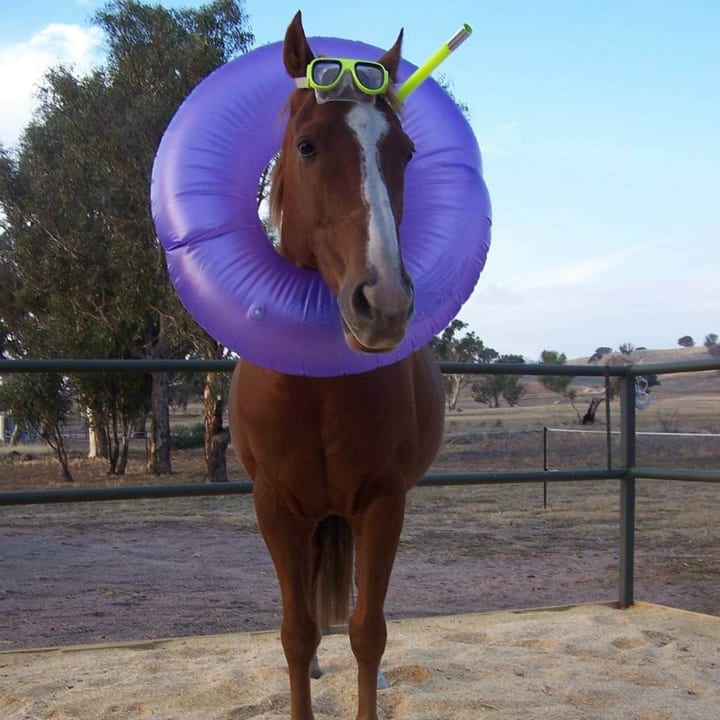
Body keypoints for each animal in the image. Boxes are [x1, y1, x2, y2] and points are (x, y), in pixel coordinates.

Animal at [229, 12, 444, 720]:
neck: (317, 392)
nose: (384, 303)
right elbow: (296, 633)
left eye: (405, 151)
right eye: (307, 146)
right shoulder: (275, 507)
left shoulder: (382, 503)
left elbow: (367, 631)